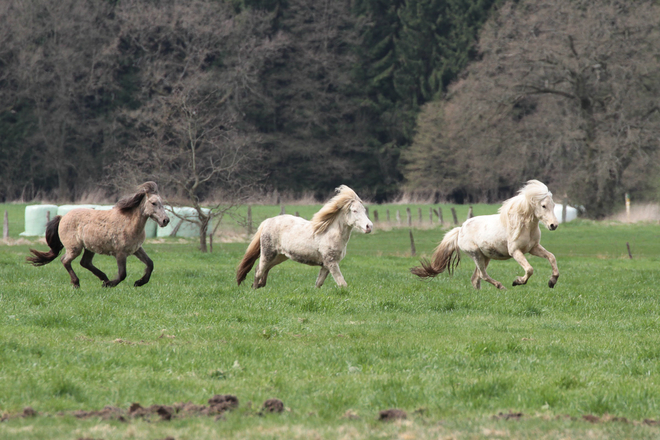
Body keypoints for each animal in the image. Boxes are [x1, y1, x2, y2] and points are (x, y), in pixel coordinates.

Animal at [26, 182, 169, 288]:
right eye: (153, 203)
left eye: (161, 202)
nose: (165, 220)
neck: (128, 223)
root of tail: (62, 217)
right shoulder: (120, 253)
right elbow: (122, 274)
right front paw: (110, 284)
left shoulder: (136, 249)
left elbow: (150, 264)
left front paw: (139, 282)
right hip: (75, 248)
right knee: (65, 260)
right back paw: (77, 283)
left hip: (89, 248)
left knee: (85, 262)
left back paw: (103, 278)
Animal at [236, 186, 372, 288]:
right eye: (354, 211)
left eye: (364, 210)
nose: (369, 226)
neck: (330, 233)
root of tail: (267, 222)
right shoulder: (331, 263)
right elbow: (343, 284)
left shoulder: (326, 265)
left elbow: (318, 283)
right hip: (268, 253)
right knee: (259, 270)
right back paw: (254, 289)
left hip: (280, 256)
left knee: (264, 269)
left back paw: (261, 286)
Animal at [412, 180, 556, 290]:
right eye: (543, 206)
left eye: (553, 205)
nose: (553, 225)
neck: (524, 226)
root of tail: (460, 229)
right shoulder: (515, 251)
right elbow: (530, 269)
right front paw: (517, 282)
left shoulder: (533, 248)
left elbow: (551, 257)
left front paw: (552, 281)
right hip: (476, 254)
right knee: (482, 275)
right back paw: (501, 287)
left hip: (485, 257)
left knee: (476, 278)